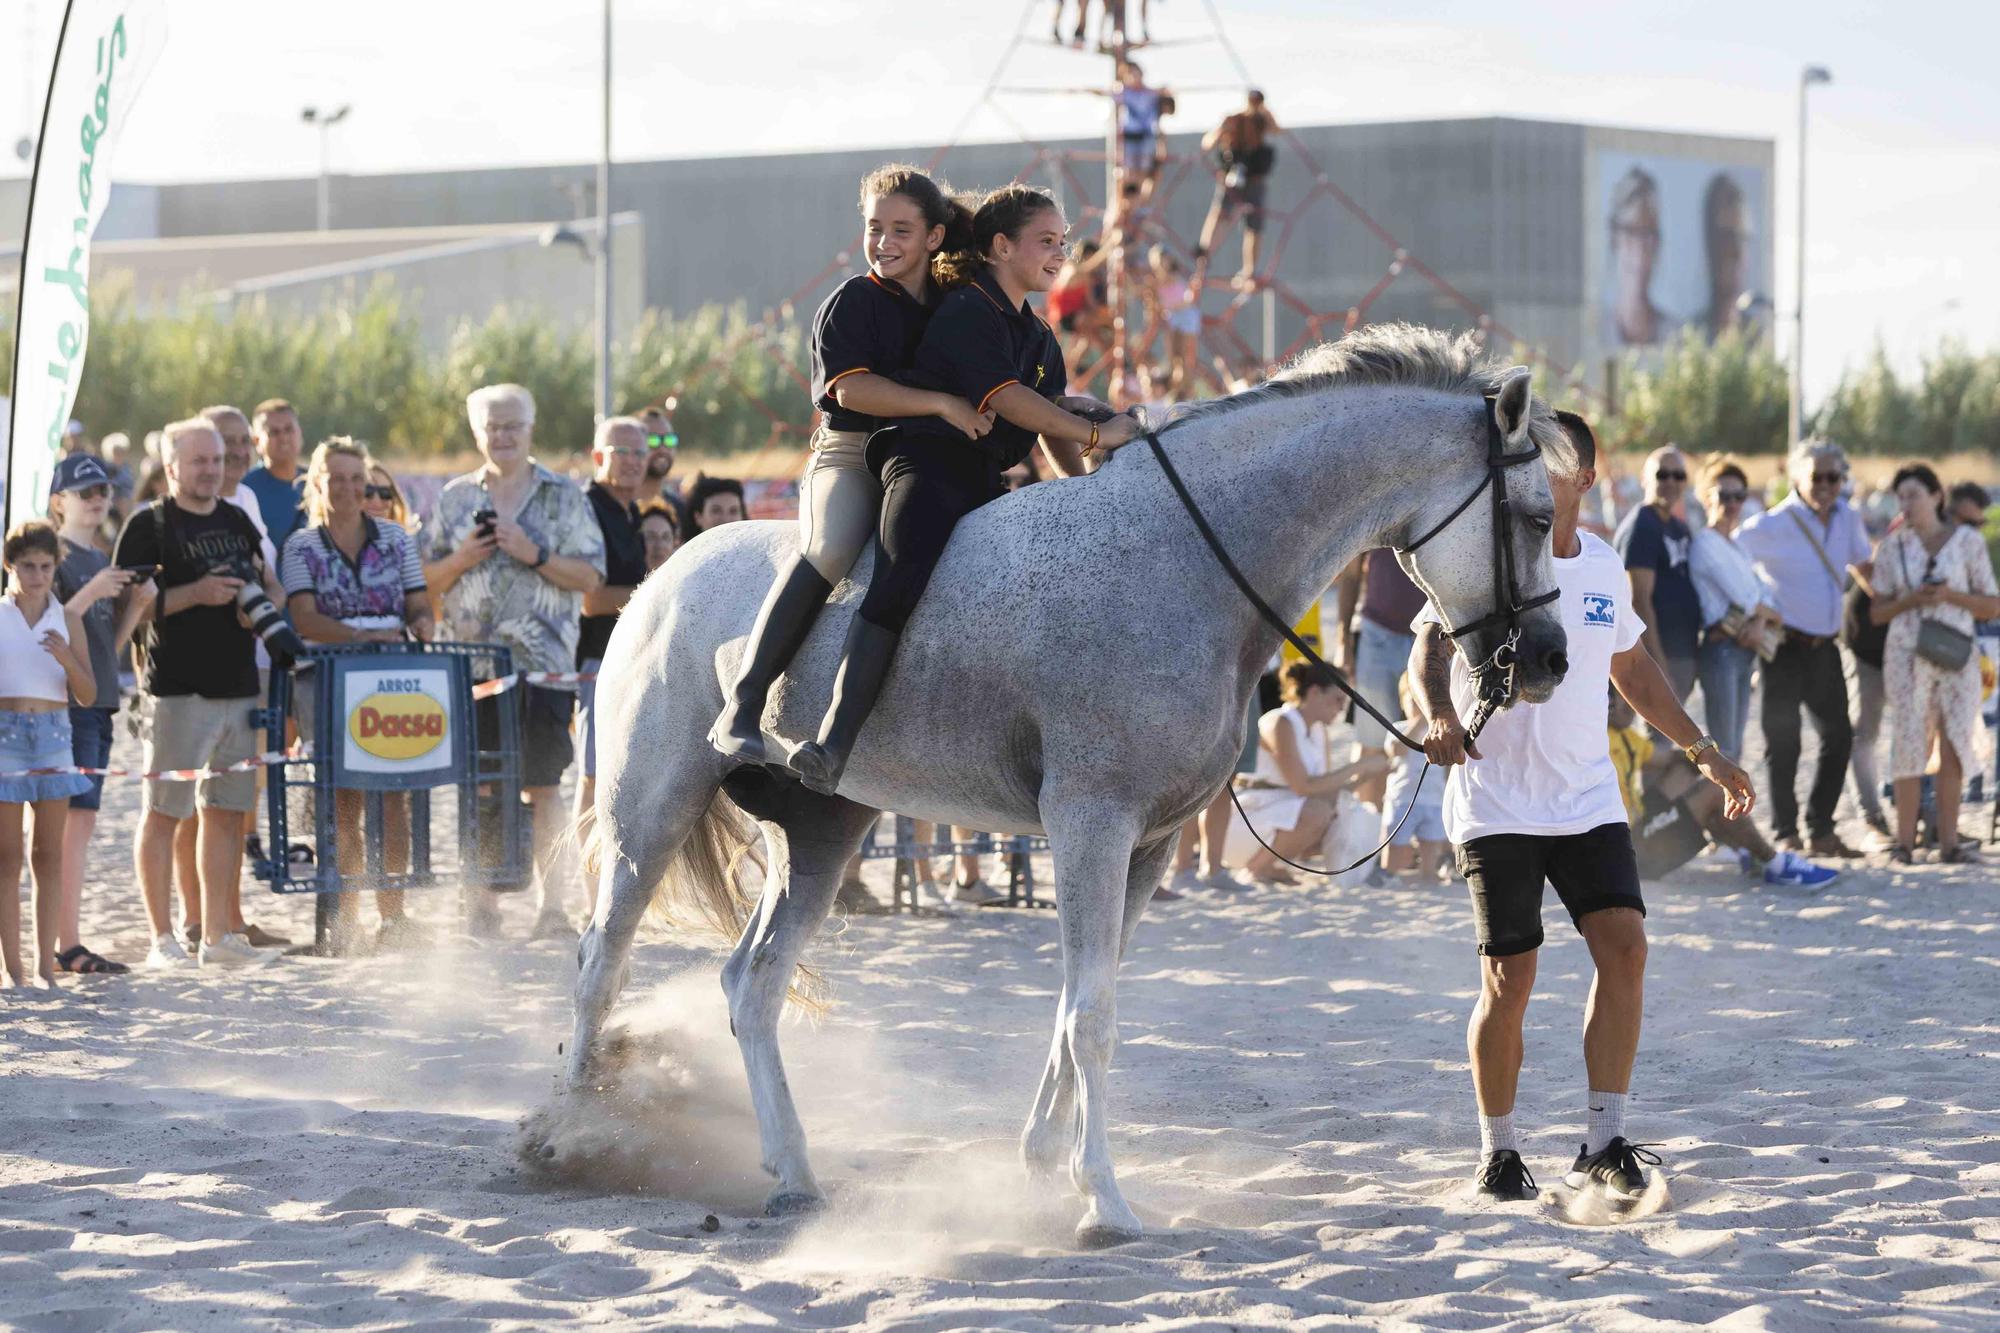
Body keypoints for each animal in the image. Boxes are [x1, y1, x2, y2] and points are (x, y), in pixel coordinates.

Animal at [564, 324, 1576, 1248]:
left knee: (753, 984)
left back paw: (792, 1172)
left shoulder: (1149, 843)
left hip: (820, 832)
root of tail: (661, 579)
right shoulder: (1092, 823)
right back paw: (573, 1131)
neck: (1186, 559)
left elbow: (1078, 1003)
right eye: (1534, 516)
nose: (1550, 662)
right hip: (648, 813)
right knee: (599, 963)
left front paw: (1042, 1161)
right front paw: (1104, 1201)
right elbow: (1093, 1018)